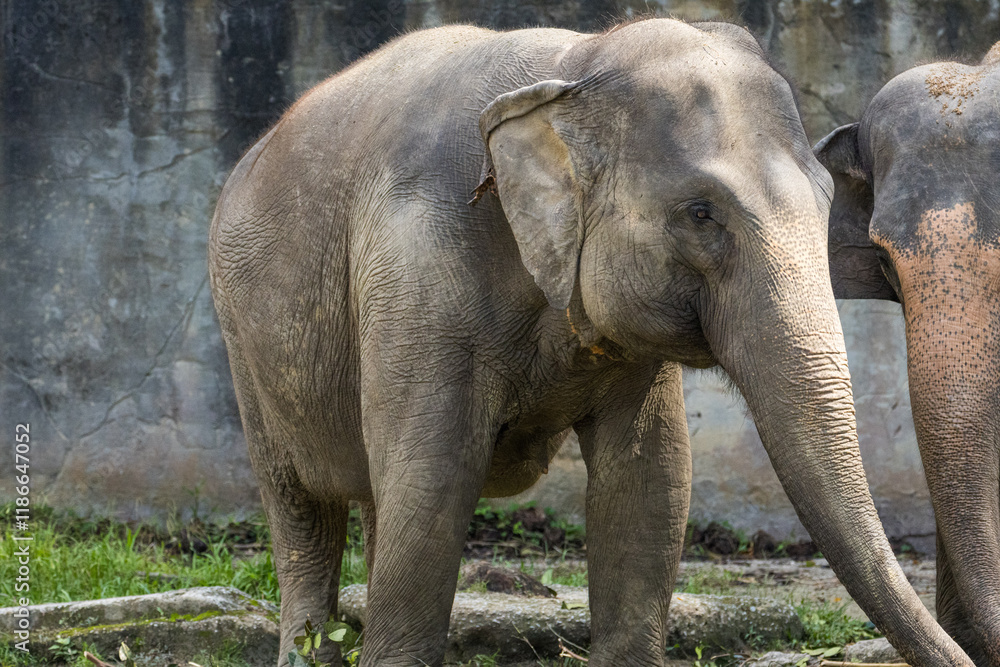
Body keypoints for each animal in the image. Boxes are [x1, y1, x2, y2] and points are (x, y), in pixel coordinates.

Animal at [209, 18, 973, 667]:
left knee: (372, 495)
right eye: (701, 214)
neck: (574, 65)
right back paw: (309, 647)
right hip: (241, 335)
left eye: (826, 200)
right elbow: (433, 474)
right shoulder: (417, 269)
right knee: (301, 503)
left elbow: (650, 477)